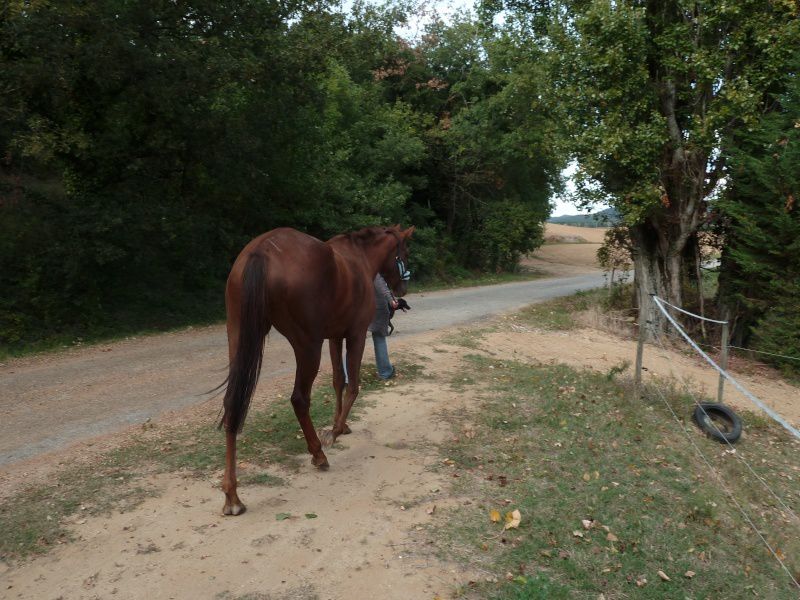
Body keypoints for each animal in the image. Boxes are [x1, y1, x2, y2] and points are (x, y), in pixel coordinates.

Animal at [222, 225, 416, 516]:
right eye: (403, 252)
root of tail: (262, 250)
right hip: (307, 347)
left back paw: (232, 494)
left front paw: (341, 425)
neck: (359, 258)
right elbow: (354, 385)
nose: (402, 287)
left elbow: (338, 381)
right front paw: (333, 433)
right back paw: (318, 454)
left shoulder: (335, 337)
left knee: (232, 404)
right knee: (299, 399)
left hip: (239, 339)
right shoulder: (356, 335)